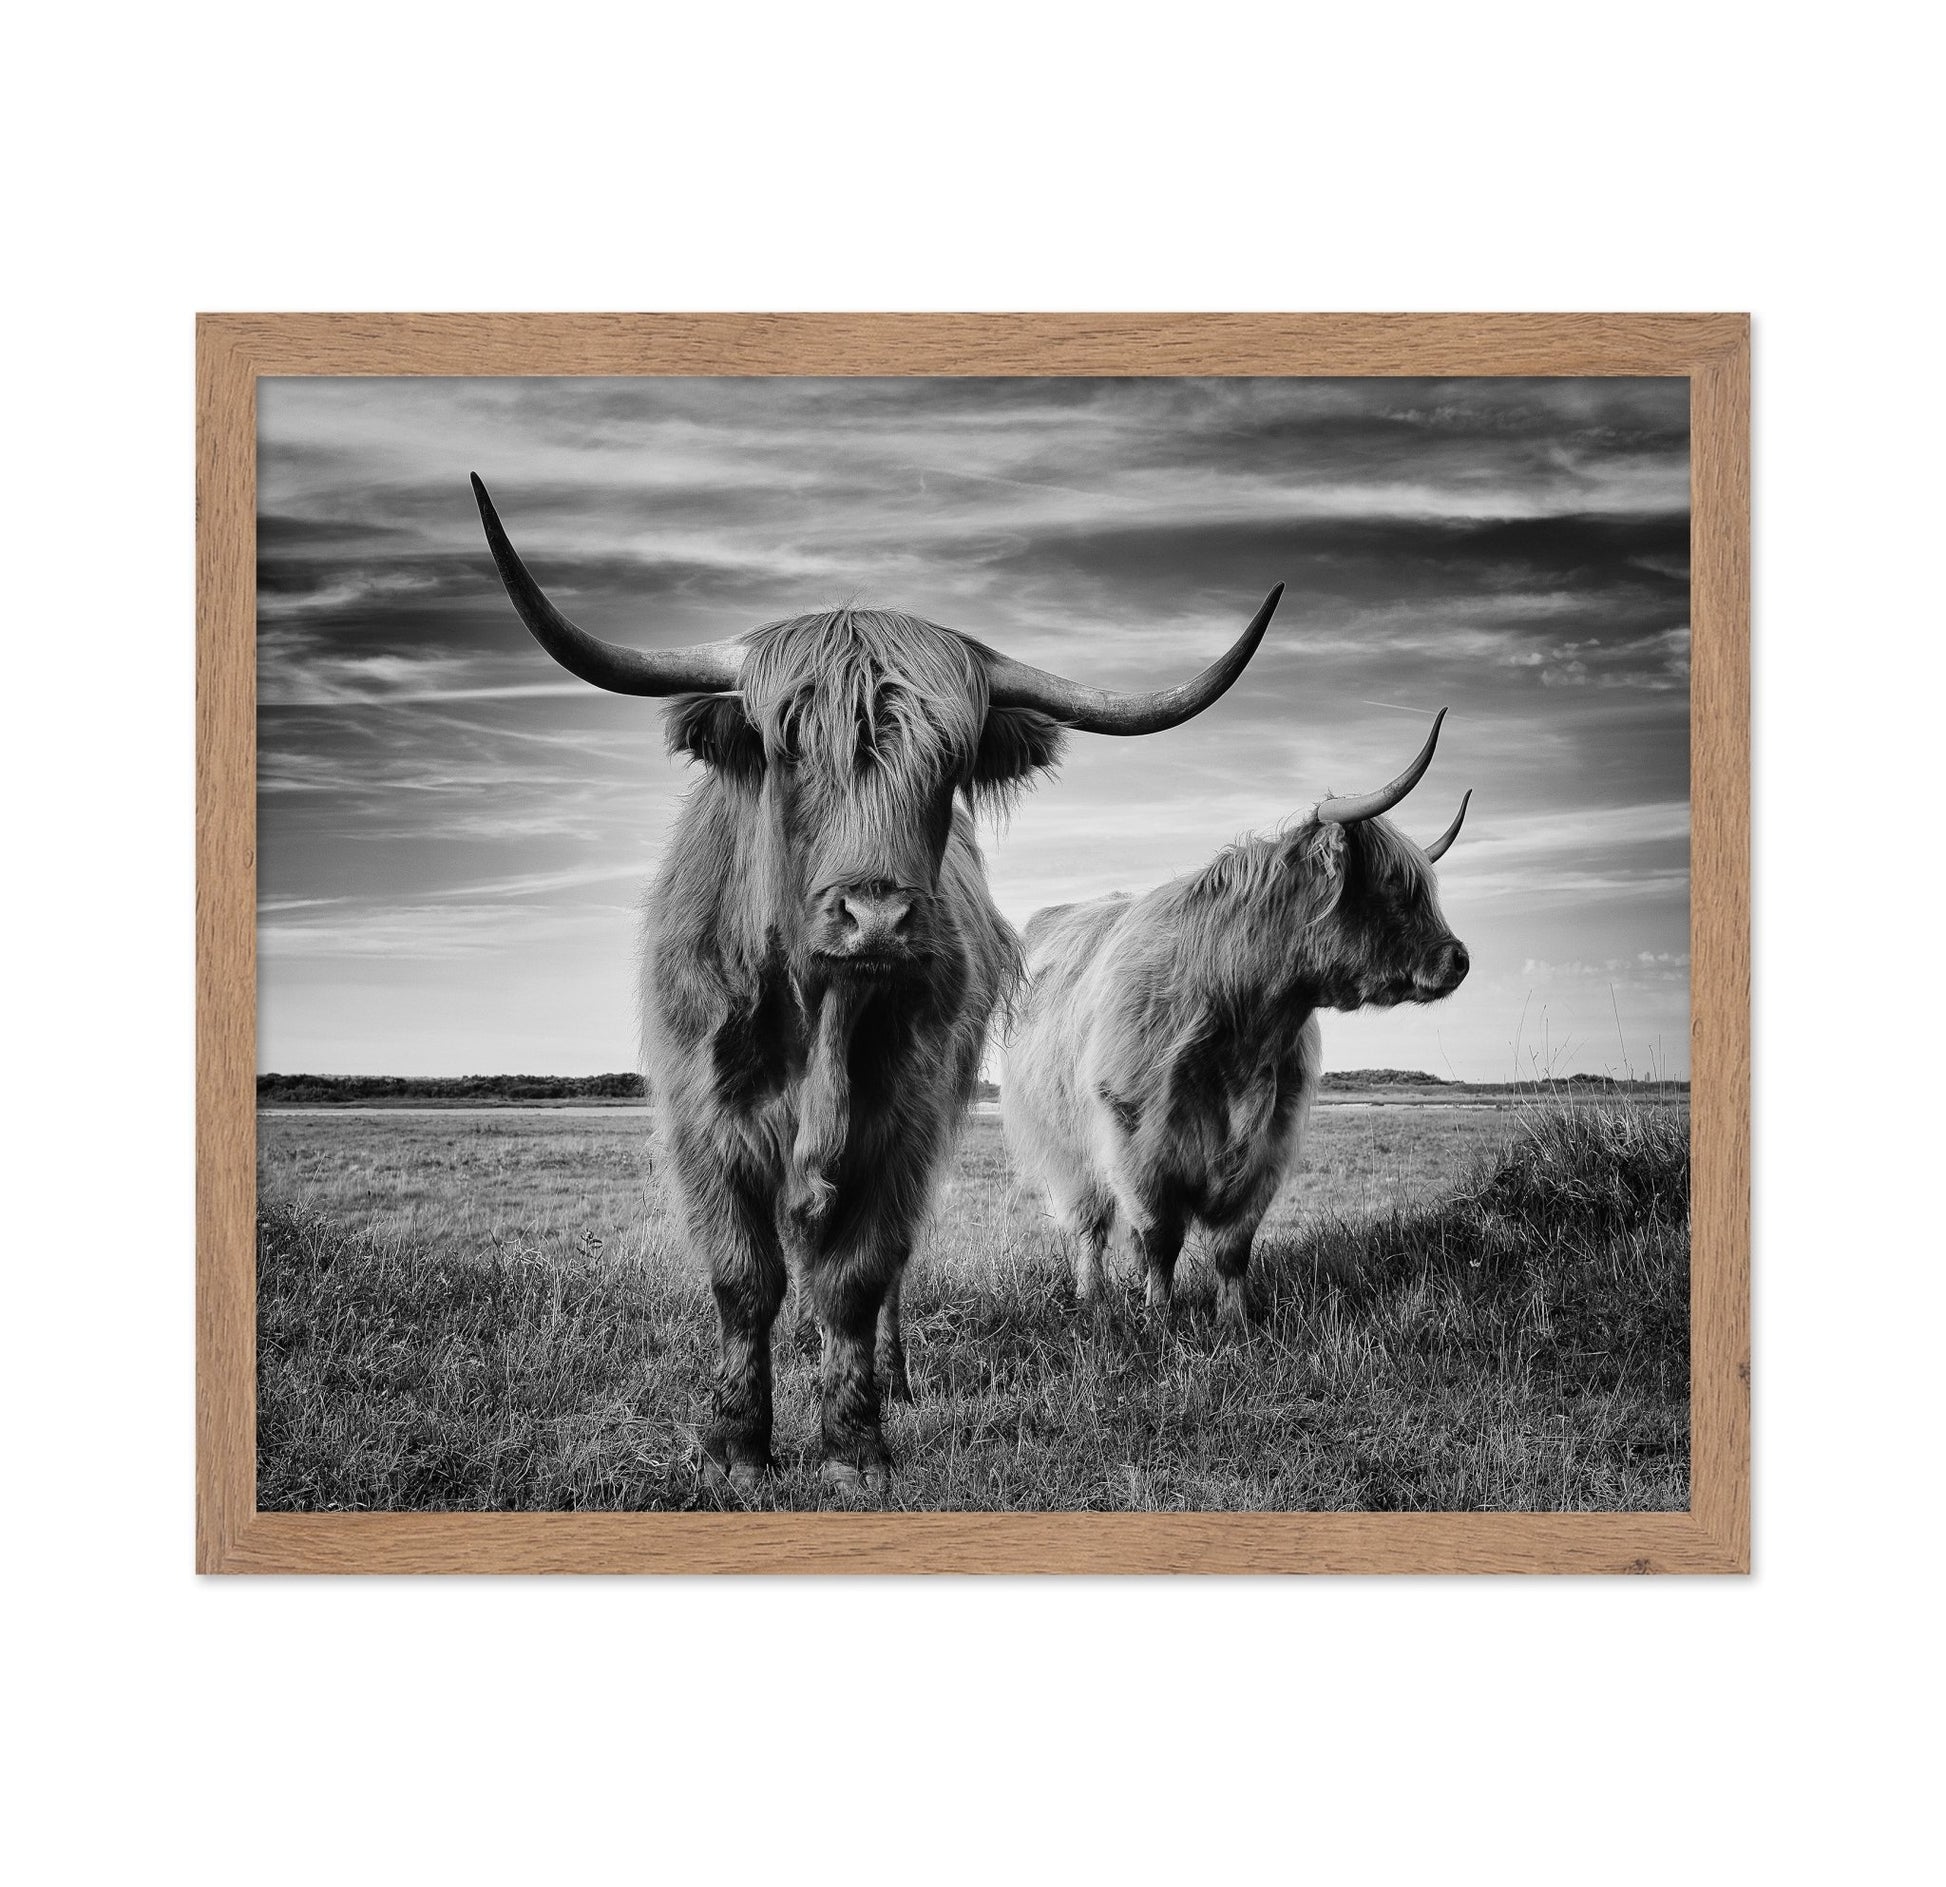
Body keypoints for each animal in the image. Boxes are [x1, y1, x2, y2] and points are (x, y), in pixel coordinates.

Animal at [470, 475, 1282, 1494]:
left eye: (949, 760)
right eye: (789, 747)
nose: (878, 916)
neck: (819, 1015)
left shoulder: (903, 1120)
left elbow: (856, 1276)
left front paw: (853, 1445)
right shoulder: (704, 1119)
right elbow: (745, 1277)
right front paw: (735, 1446)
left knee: (884, 1271)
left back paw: (889, 1379)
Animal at [1002, 711, 1470, 1330]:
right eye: (1394, 885)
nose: (1459, 959)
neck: (1246, 1026)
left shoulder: (1269, 1143)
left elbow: (1233, 1246)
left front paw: (1236, 1321)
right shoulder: (1139, 1142)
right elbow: (1160, 1238)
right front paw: (1159, 1318)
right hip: (1064, 1148)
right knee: (1090, 1226)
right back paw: (1093, 1297)